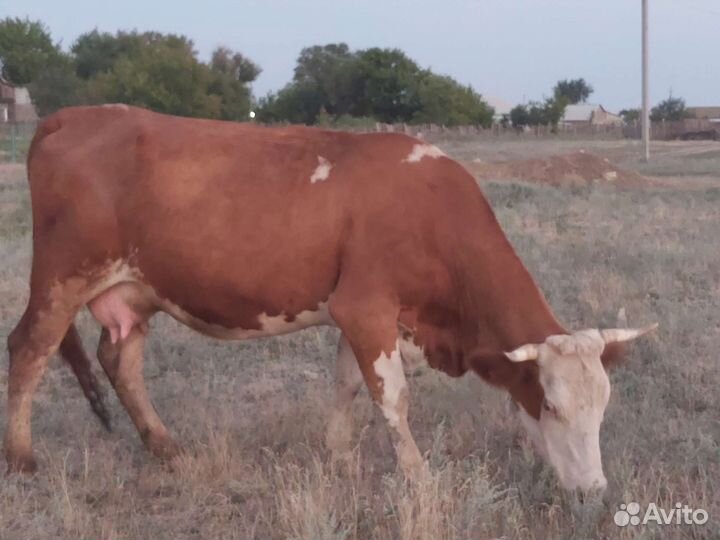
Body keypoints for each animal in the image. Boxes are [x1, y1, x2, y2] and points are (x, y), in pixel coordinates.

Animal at [4, 105, 656, 492]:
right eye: (552, 407)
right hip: (63, 276)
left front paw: (339, 458)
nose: (595, 493)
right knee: (29, 349)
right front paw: (417, 476)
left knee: (121, 361)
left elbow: (345, 385)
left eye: (603, 408)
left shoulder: (354, 314)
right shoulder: (366, 310)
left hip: (135, 292)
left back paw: (165, 447)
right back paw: (22, 457)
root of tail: (76, 114)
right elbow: (392, 397)